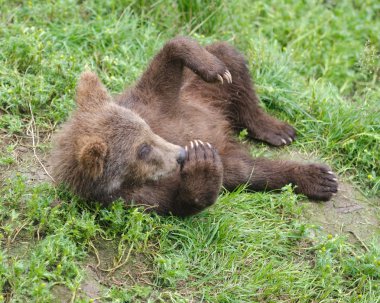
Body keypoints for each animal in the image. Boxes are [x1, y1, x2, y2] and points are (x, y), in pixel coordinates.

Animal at [50, 36, 338, 217]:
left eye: (147, 131)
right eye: (142, 151)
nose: (180, 154)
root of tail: (226, 132)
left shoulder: (154, 103)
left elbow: (167, 61)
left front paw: (212, 67)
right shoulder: (134, 197)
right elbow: (179, 204)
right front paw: (202, 162)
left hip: (200, 91)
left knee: (231, 60)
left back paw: (278, 131)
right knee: (248, 170)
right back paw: (320, 179)